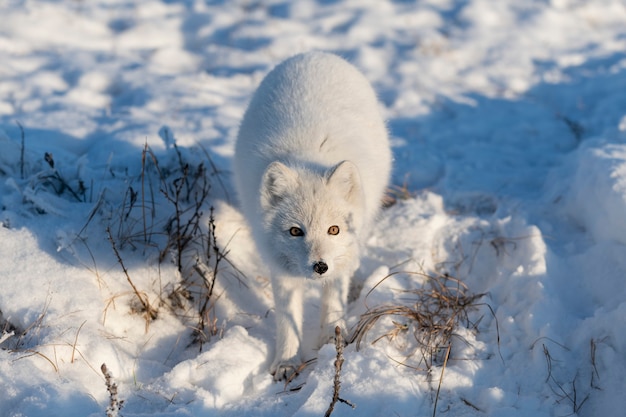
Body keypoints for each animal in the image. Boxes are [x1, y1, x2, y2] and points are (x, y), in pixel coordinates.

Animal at [234, 52, 390, 380]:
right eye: (295, 231)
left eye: (334, 230)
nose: (320, 266)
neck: (308, 159)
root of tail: (315, 54)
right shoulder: (279, 269)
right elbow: (287, 318)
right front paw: (287, 361)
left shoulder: (341, 261)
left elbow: (333, 304)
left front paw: (331, 343)